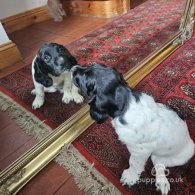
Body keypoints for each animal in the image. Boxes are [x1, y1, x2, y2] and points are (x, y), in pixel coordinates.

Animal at [71, 63, 193, 194]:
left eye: (85, 78)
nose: (73, 68)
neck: (126, 104)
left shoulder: (140, 151)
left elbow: (134, 163)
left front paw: (129, 177)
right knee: (158, 163)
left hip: (183, 155)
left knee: (160, 164)